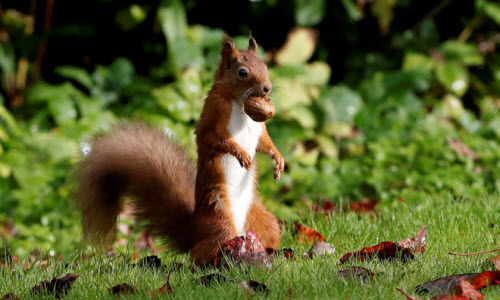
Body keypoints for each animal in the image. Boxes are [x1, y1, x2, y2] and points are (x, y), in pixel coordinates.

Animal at [75, 34, 286, 264]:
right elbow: (214, 138)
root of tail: (195, 234)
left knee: (268, 231)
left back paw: (270, 253)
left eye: (264, 65)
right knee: (203, 252)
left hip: (260, 218)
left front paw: (278, 160)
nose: (267, 88)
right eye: (242, 72)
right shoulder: (215, 113)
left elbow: (265, 142)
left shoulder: (259, 128)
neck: (240, 104)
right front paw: (242, 154)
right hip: (220, 219)